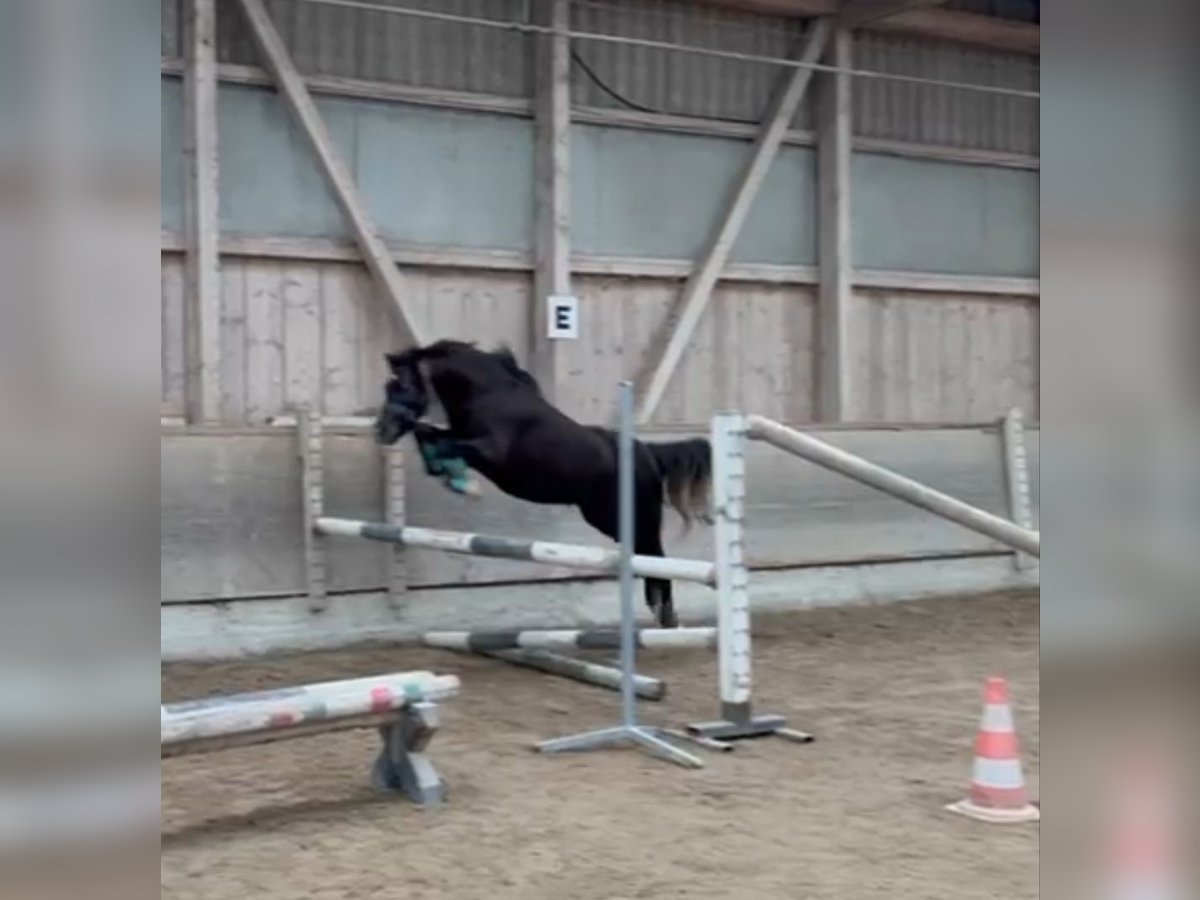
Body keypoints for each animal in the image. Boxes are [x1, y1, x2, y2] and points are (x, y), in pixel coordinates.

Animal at [372, 338, 710, 628]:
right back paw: (659, 610)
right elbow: (427, 434)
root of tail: (648, 454)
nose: (382, 431)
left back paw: (666, 614)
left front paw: (464, 484)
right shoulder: (465, 442)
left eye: (402, 385)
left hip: (630, 515)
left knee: (655, 554)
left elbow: (441, 441)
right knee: (645, 555)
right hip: (604, 517)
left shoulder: (489, 453)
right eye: (387, 386)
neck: (490, 395)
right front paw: (452, 478)